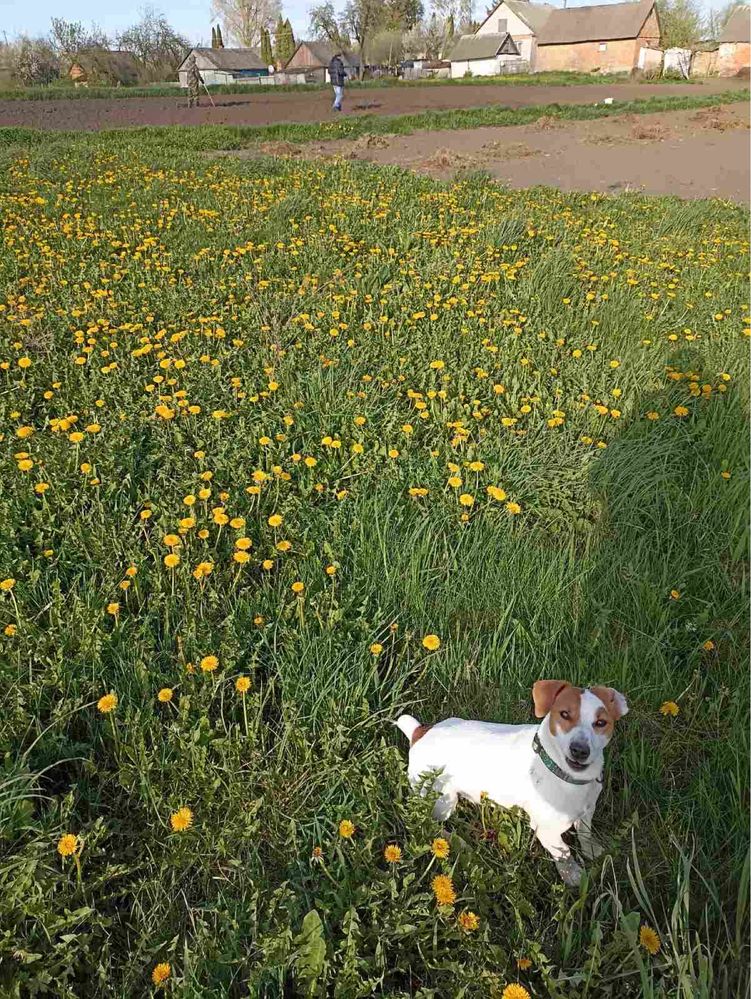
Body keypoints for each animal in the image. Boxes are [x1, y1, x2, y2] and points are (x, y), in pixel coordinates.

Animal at [400, 684, 628, 888]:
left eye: (601, 722)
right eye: (564, 714)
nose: (579, 750)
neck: (563, 774)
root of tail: (419, 733)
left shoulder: (587, 811)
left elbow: (585, 834)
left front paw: (592, 850)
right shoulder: (547, 831)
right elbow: (563, 853)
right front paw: (572, 875)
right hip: (442, 801)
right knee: (431, 826)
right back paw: (457, 843)